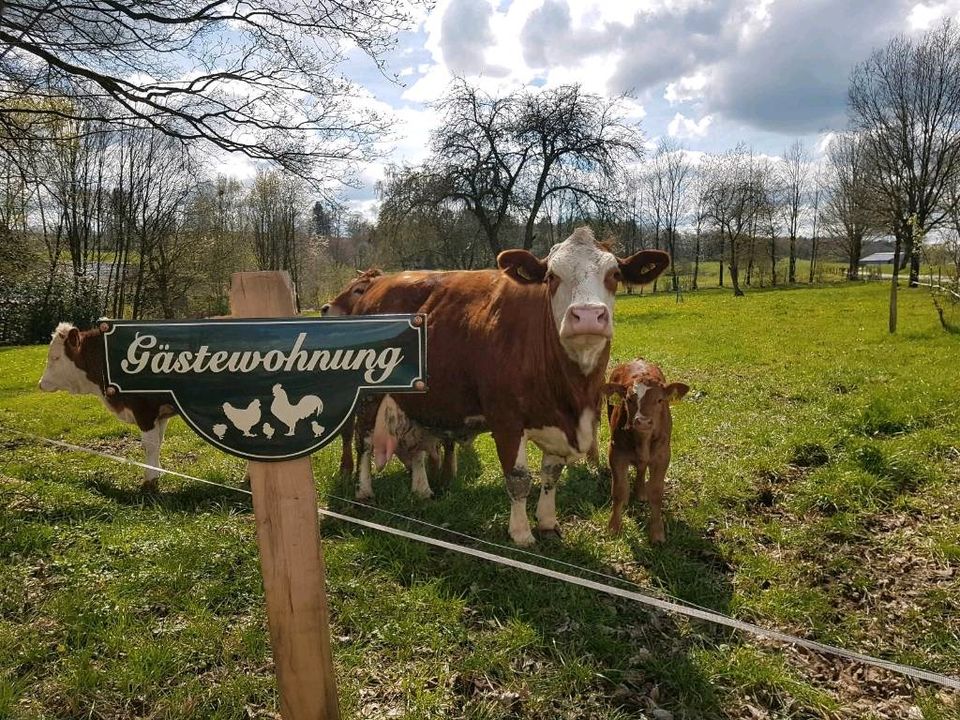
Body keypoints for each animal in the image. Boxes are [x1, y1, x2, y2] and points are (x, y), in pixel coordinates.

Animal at [37, 324, 179, 492]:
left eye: (56, 357)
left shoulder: (144, 410)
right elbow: (158, 443)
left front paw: (149, 481)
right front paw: (158, 473)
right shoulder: (161, 414)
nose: (40, 383)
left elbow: (149, 446)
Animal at [348, 228, 672, 544]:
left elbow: (551, 475)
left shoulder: (556, 424)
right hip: (368, 393)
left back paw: (422, 490)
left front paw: (547, 523)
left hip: (416, 398)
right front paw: (521, 533)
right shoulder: (506, 420)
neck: (571, 392)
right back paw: (364, 491)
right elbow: (518, 479)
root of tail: (377, 284)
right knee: (364, 440)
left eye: (614, 274)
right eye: (551, 276)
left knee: (416, 445)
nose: (588, 315)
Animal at [604, 358, 688, 544]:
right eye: (629, 399)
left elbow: (656, 493)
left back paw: (641, 492)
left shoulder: (663, 456)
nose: (642, 421)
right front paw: (614, 528)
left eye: (660, 400)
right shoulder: (616, 452)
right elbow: (619, 491)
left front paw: (657, 532)